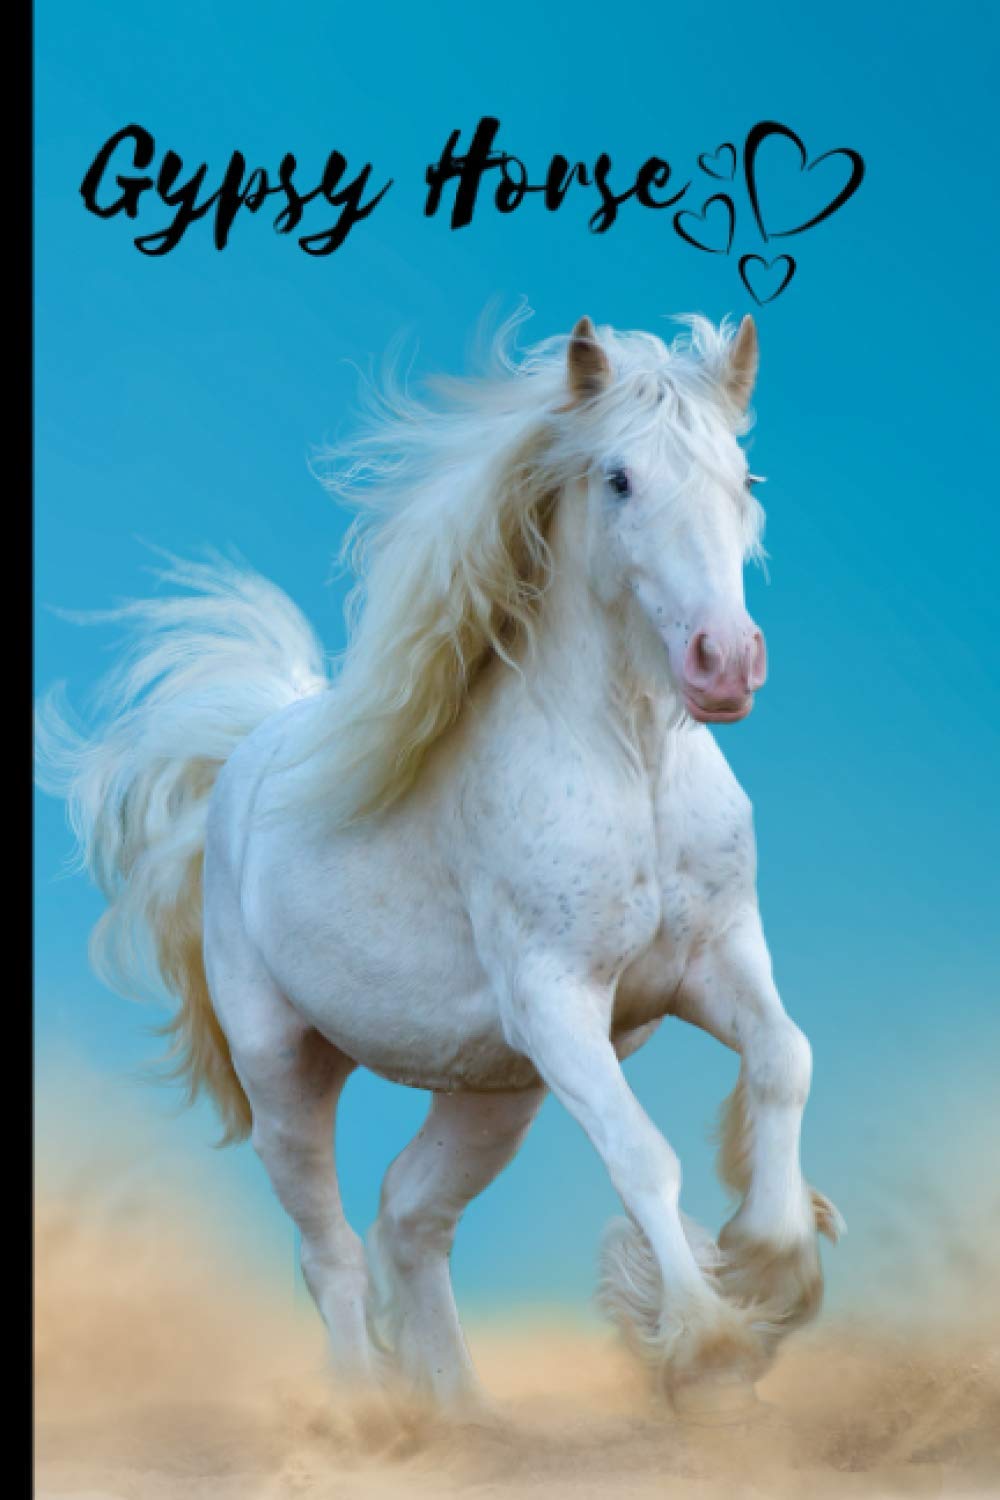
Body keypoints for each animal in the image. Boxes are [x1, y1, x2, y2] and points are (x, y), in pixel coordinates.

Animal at [36, 309, 843, 1420]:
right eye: (618, 478)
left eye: (744, 475)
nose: (725, 663)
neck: (630, 768)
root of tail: (247, 756)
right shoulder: (557, 999)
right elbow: (644, 1156)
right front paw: (710, 1345)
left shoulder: (716, 960)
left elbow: (783, 1060)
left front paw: (770, 1261)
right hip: (286, 1072)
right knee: (329, 1247)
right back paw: (367, 1416)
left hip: (492, 1091)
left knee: (409, 1217)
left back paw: (467, 1418)